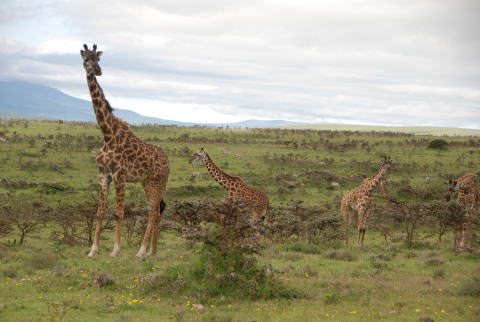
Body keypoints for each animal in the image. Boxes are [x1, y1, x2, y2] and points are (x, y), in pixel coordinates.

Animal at [79, 44, 169, 258]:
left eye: (98, 60)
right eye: (85, 60)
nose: (97, 71)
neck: (107, 133)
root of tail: (169, 161)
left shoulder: (120, 175)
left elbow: (119, 213)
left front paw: (115, 250)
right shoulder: (103, 175)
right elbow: (100, 212)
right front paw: (93, 250)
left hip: (157, 182)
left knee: (153, 212)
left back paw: (141, 251)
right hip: (147, 182)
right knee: (157, 211)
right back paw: (152, 252)